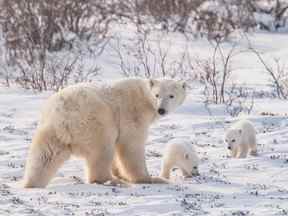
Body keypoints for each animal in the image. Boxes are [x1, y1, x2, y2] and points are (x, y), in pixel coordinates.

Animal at [23, 77, 187, 187]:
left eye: (171, 95)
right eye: (157, 95)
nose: (161, 110)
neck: (144, 97)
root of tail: (64, 117)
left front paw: (120, 173)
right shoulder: (132, 114)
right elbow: (131, 145)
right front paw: (147, 178)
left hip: (51, 129)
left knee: (44, 156)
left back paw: (30, 183)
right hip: (96, 120)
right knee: (102, 148)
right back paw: (112, 180)